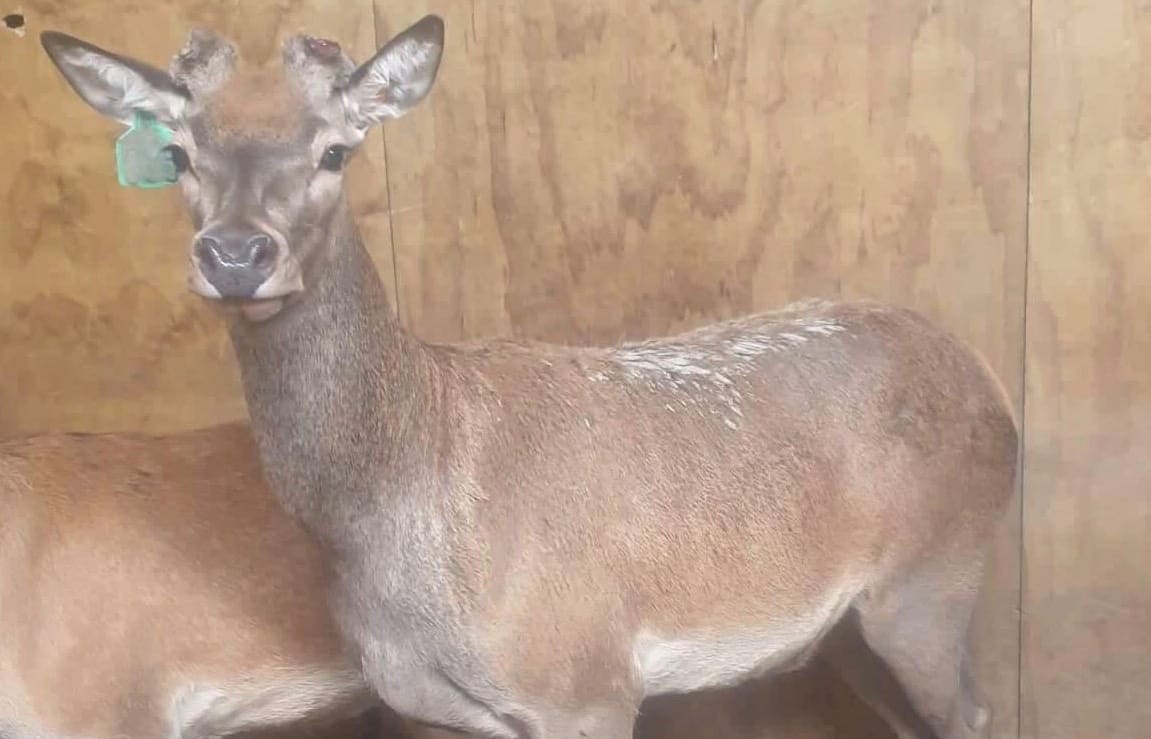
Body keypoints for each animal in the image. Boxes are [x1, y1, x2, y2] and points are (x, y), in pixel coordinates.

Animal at [40, 15, 1019, 739]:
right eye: (178, 153)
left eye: (334, 151)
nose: (237, 255)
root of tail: (995, 387)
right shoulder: (430, 708)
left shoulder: (583, 679)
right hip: (854, 624)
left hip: (932, 576)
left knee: (973, 710)